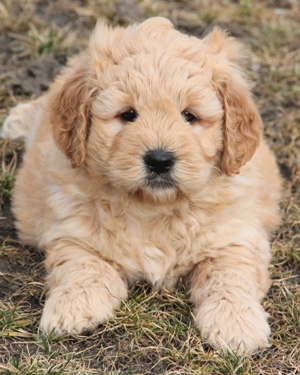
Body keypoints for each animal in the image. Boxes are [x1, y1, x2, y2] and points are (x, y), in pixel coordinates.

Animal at [1, 16, 282, 352]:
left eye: (190, 116)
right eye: (128, 115)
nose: (160, 160)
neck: (154, 207)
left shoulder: (235, 236)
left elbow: (230, 275)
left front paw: (236, 324)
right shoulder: (73, 230)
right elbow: (82, 266)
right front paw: (73, 308)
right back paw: (16, 121)